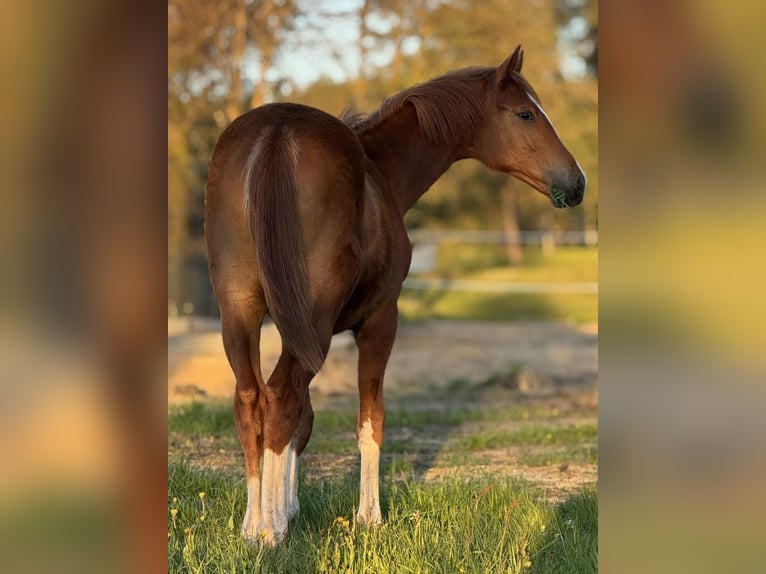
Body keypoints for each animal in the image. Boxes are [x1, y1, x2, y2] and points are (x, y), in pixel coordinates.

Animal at [204, 45, 586, 545]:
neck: (381, 173)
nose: (578, 183)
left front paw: (289, 508)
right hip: (315, 322)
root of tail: (276, 133)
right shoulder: (380, 320)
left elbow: (304, 420)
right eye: (526, 113)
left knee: (252, 400)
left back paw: (253, 527)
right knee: (280, 396)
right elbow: (370, 420)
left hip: (240, 313)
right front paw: (369, 517)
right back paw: (271, 534)